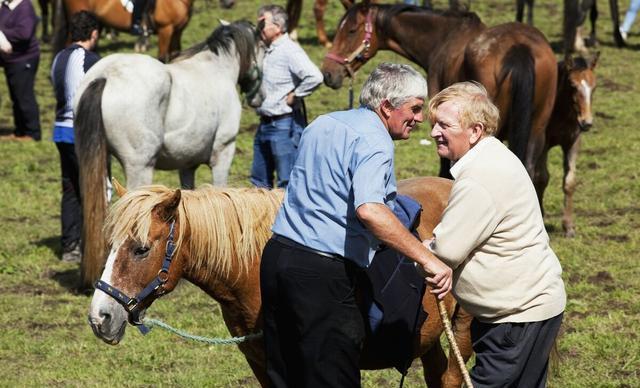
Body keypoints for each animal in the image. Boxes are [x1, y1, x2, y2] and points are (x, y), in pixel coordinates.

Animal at [87, 178, 472, 388]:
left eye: (141, 249)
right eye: (111, 244)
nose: (99, 317)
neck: (255, 268)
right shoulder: (262, 363)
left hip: (462, 327)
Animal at [540, 53, 600, 236]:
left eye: (594, 86)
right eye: (572, 85)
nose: (587, 122)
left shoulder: (573, 143)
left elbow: (569, 181)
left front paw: (568, 226)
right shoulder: (543, 143)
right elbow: (542, 177)